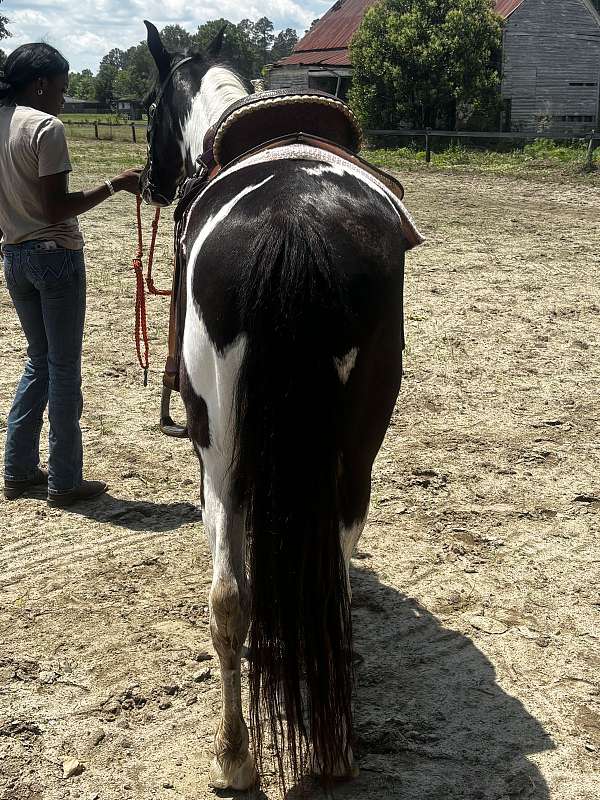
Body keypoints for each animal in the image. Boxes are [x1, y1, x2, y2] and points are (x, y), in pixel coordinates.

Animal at [140, 20, 422, 791]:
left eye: (148, 105)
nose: (148, 181)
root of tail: (293, 221)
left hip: (223, 463)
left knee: (228, 601)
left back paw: (235, 755)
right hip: (352, 462)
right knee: (323, 592)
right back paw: (331, 749)